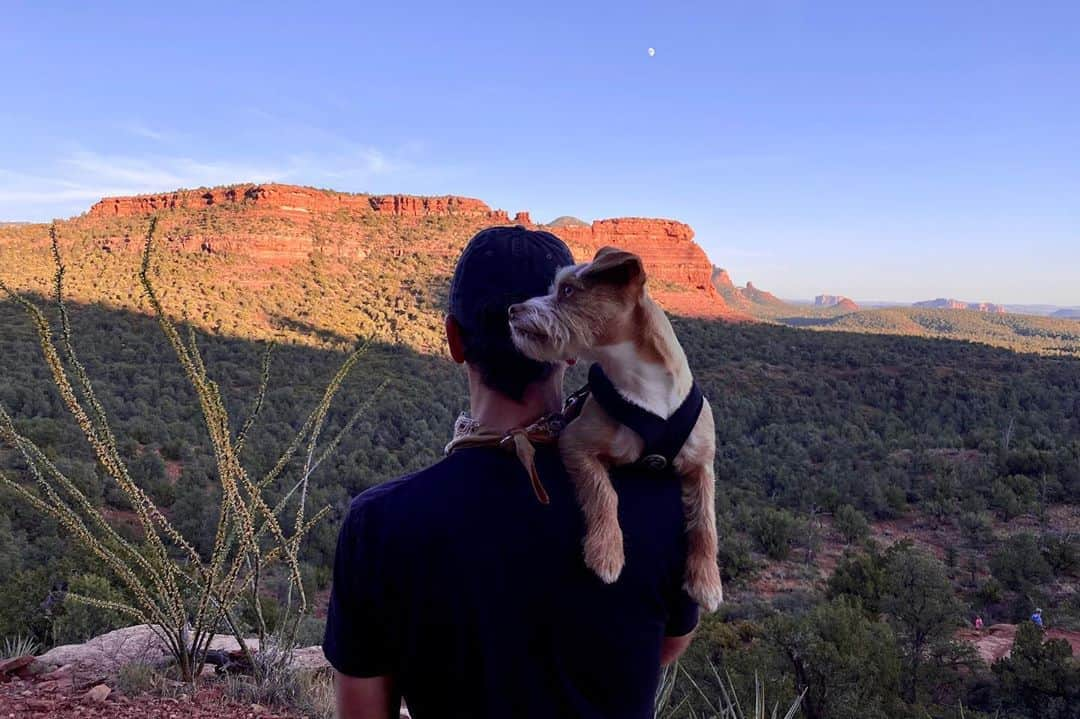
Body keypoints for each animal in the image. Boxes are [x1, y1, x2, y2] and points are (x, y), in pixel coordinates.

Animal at [507, 246, 725, 608]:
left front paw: (707, 581)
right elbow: (604, 494)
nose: (512, 310)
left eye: (568, 290)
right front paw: (606, 552)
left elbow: (706, 521)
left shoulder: (701, 463)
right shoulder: (576, 441)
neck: (646, 387)